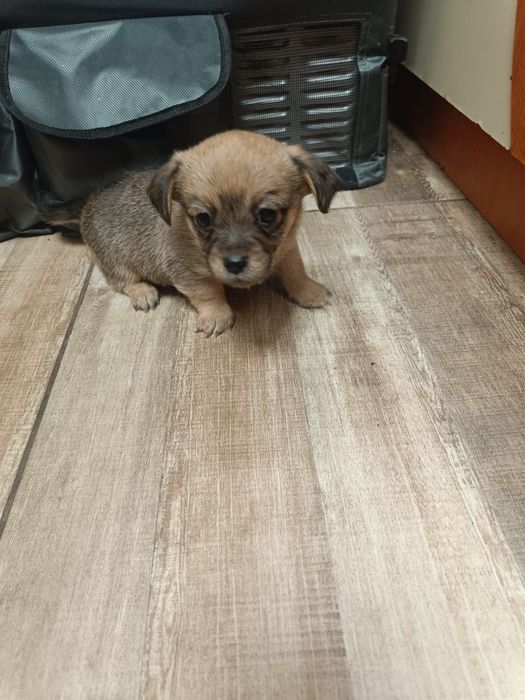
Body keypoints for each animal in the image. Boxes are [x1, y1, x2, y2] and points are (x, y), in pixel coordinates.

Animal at [79, 130, 339, 336]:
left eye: (267, 215)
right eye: (203, 219)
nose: (235, 263)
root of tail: (89, 204)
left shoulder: (287, 249)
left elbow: (296, 272)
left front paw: (310, 291)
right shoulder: (189, 273)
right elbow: (208, 293)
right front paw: (217, 317)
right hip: (115, 262)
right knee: (124, 282)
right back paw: (143, 292)